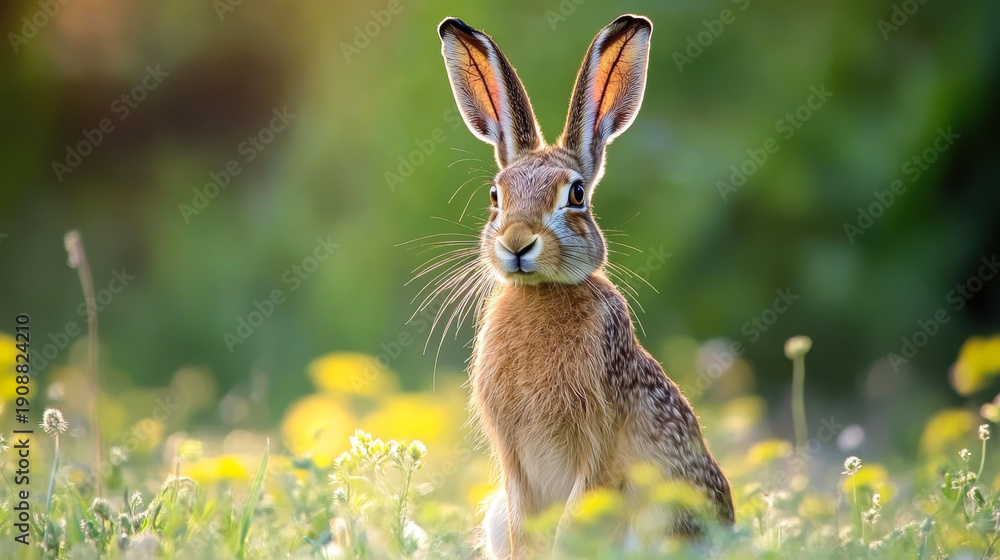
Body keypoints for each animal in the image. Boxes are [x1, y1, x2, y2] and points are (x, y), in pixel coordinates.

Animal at [436, 14, 734, 559]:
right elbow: (523, 523)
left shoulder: (598, 443)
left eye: (575, 194)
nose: (516, 242)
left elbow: (575, 517)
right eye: (496, 195)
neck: (541, 293)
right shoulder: (512, 459)